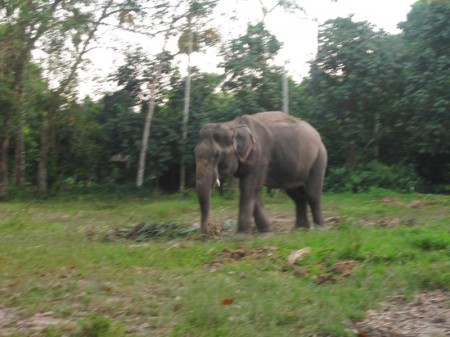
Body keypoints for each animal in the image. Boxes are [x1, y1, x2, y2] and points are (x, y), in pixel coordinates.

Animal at [193, 110, 326, 234]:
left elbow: (248, 187)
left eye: (217, 154)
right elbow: (254, 190)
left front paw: (241, 236)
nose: (210, 231)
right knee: (297, 196)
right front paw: (266, 232)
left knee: (311, 194)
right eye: (195, 151)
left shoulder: (259, 156)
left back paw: (319, 229)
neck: (233, 125)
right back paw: (300, 230)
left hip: (319, 158)